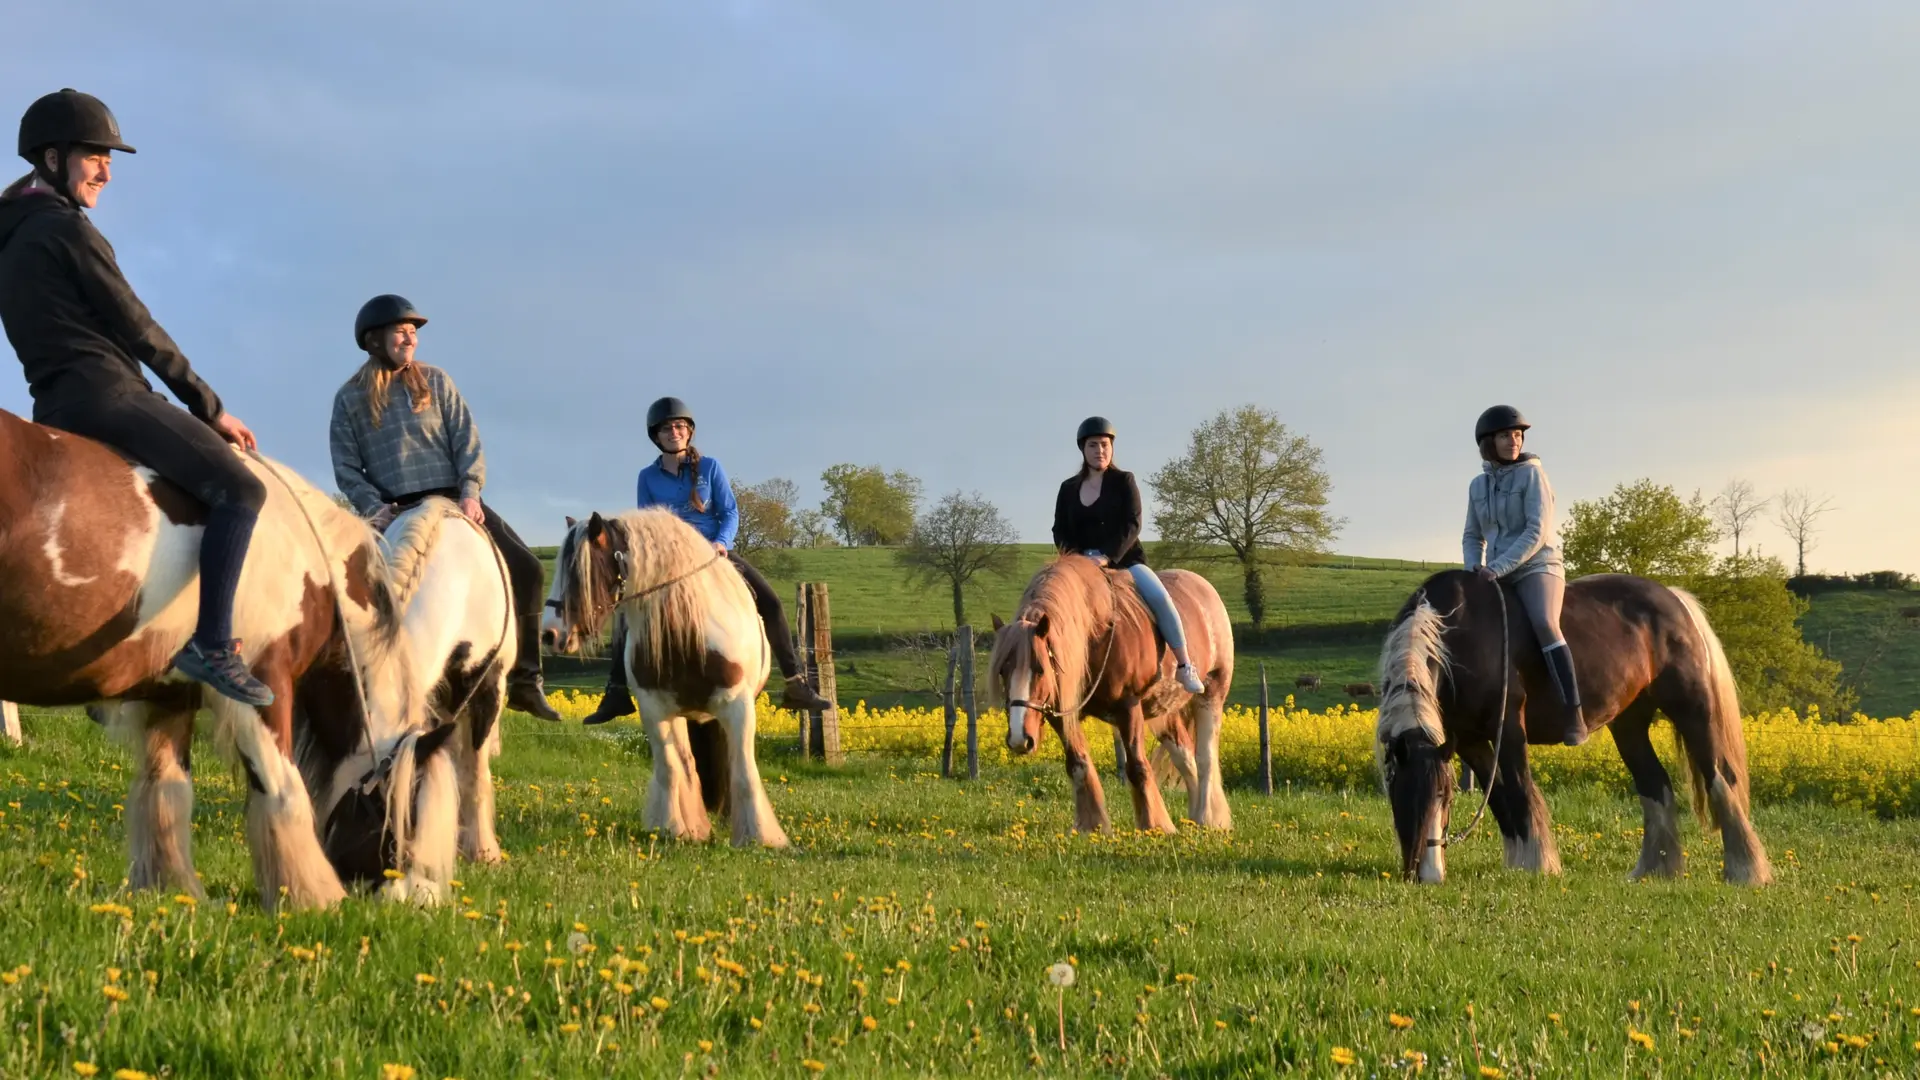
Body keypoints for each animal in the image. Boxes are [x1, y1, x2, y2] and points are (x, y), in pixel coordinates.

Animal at [0, 408, 456, 910]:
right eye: (404, 826)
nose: (422, 905)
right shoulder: (262, 682)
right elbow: (283, 789)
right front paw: (316, 899)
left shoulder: (170, 699)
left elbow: (166, 792)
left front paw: (173, 890)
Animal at [541, 508, 787, 848]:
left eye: (579, 571)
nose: (549, 634)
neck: (688, 631)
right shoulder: (655, 710)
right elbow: (673, 768)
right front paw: (674, 829)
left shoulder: (738, 706)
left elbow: (743, 772)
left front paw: (758, 837)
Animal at [989, 556, 1234, 835]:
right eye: (1002, 671)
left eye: (1040, 669)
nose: (1020, 739)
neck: (1095, 636)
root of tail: (1203, 587)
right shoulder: (1061, 716)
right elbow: (1078, 763)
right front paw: (1092, 826)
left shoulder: (1128, 707)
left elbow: (1137, 767)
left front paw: (1154, 826)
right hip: (1163, 710)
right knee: (1185, 757)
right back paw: (1194, 818)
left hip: (1213, 692)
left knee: (1205, 758)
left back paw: (1207, 818)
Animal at [1376, 570, 1771, 886]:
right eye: (1398, 795)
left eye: (1444, 797)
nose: (1425, 874)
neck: (1459, 634)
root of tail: (1675, 599)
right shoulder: (1468, 741)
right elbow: (1500, 794)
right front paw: (1517, 861)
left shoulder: (1509, 728)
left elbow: (1519, 788)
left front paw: (1539, 864)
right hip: (1629, 725)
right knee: (1654, 784)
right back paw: (1655, 869)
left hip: (1691, 709)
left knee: (1720, 776)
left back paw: (1746, 870)